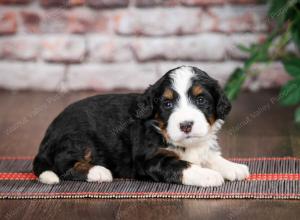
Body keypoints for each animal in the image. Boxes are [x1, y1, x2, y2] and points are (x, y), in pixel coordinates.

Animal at [32, 66, 250, 186]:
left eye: (201, 100)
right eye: (167, 104)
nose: (186, 125)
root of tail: (48, 134)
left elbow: (210, 156)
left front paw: (233, 167)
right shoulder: (149, 158)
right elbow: (182, 165)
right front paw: (207, 175)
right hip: (77, 139)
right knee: (64, 163)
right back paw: (98, 172)